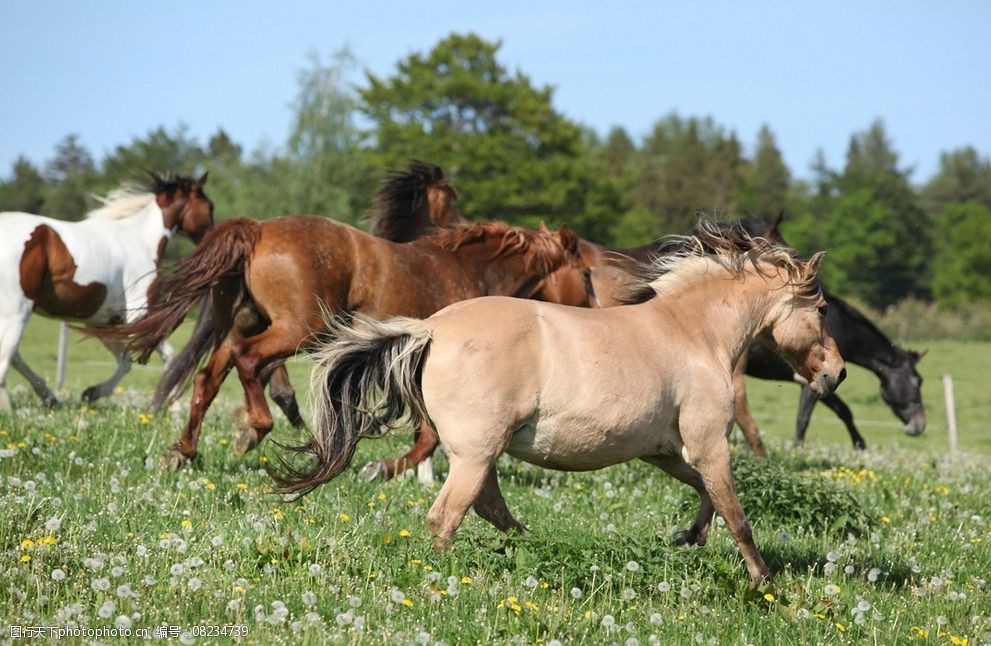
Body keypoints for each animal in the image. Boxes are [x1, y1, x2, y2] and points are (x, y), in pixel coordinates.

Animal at [0, 173, 213, 410]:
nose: (213, 235)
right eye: (209, 206)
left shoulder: (103, 321)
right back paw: (11, 407)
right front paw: (172, 406)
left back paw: (48, 396)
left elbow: (125, 362)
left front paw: (91, 393)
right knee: (7, 357)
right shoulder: (138, 315)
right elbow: (167, 356)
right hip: (18, 312)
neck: (140, 240)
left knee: (13, 356)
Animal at [93, 213, 588, 470]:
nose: (587, 313)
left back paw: (184, 451)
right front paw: (383, 469)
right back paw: (254, 429)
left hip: (245, 325)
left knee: (210, 376)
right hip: (297, 330)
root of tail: (258, 229)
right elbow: (429, 436)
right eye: (585, 273)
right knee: (249, 363)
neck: (467, 270)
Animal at [278, 223, 844, 588]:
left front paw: (689, 538)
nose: (835, 374)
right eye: (820, 309)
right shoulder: (708, 445)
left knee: (490, 508)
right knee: (447, 516)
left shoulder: (667, 451)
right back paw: (443, 577)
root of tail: (431, 329)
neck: (694, 334)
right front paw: (765, 584)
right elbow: (737, 514)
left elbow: (708, 498)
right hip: (476, 453)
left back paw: (538, 547)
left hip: (483, 453)